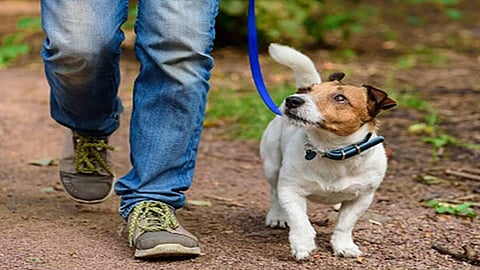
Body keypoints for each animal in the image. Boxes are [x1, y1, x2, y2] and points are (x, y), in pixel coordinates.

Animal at [260, 43, 396, 260]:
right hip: (272, 166)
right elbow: (300, 220)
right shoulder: (290, 190)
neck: (331, 150)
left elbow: (345, 224)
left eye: (340, 98)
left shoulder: (362, 198)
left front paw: (344, 245)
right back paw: (277, 215)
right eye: (309, 91)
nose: (292, 100)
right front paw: (303, 244)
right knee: (274, 193)